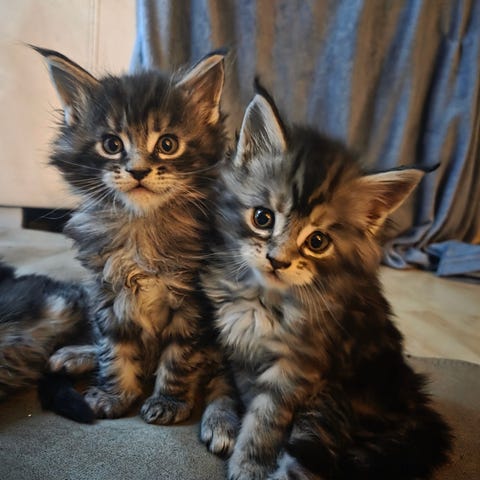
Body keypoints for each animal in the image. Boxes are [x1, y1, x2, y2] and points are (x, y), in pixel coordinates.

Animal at [31, 46, 236, 437]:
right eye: (112, 145)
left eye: (168, 144)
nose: (138, 171)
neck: (143, 227)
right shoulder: (107, 294)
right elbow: (114, 349)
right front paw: (115, 394)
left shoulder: (194, 307)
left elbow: (180, 358)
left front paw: (168, 401)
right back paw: (75, 355)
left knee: (227, 382)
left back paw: (221, 422)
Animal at [201, 89, 452, 479]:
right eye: (263, 218)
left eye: (317, 241)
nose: (277, 260)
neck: (260, 300)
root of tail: (414, 402)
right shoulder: (230, 344)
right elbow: (231, 386)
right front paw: (226, 422)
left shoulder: (297, 367)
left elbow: (265, 420)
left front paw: (250, 465)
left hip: (329, 403)